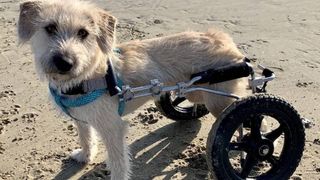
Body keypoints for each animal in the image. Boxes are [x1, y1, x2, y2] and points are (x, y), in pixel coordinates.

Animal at [18, 0, 250, 179]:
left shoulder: (113, 129)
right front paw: (85, 156)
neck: (87, 76)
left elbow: (118, 162)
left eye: (83, 33)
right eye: (50, 28)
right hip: (197, 92)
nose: (65, 62)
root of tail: (227, 41)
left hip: (219, 102)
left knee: (243, 117)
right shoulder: (81, 119)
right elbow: (86, 137)